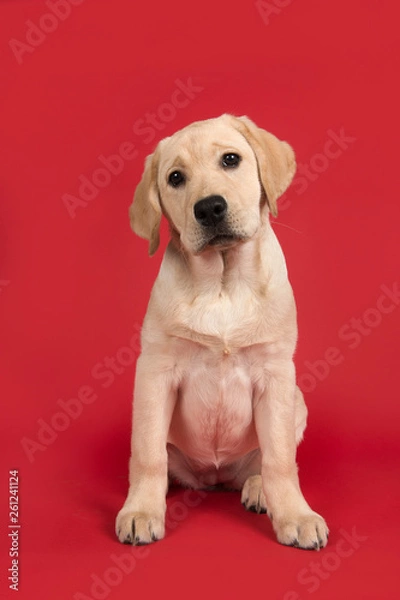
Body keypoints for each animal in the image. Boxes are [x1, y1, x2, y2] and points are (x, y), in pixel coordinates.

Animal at [115, 115, 328, 552]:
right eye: (175, 178)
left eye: (231, 159)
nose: (209, 207)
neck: (223, 282)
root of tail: (215, 478)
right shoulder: (155, 372)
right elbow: (147, 455)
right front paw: (142, 510)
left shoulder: (276, 374)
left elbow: (281, 459)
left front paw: (295, 515)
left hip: (296, 401)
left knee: (268, 460)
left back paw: (259, 489)